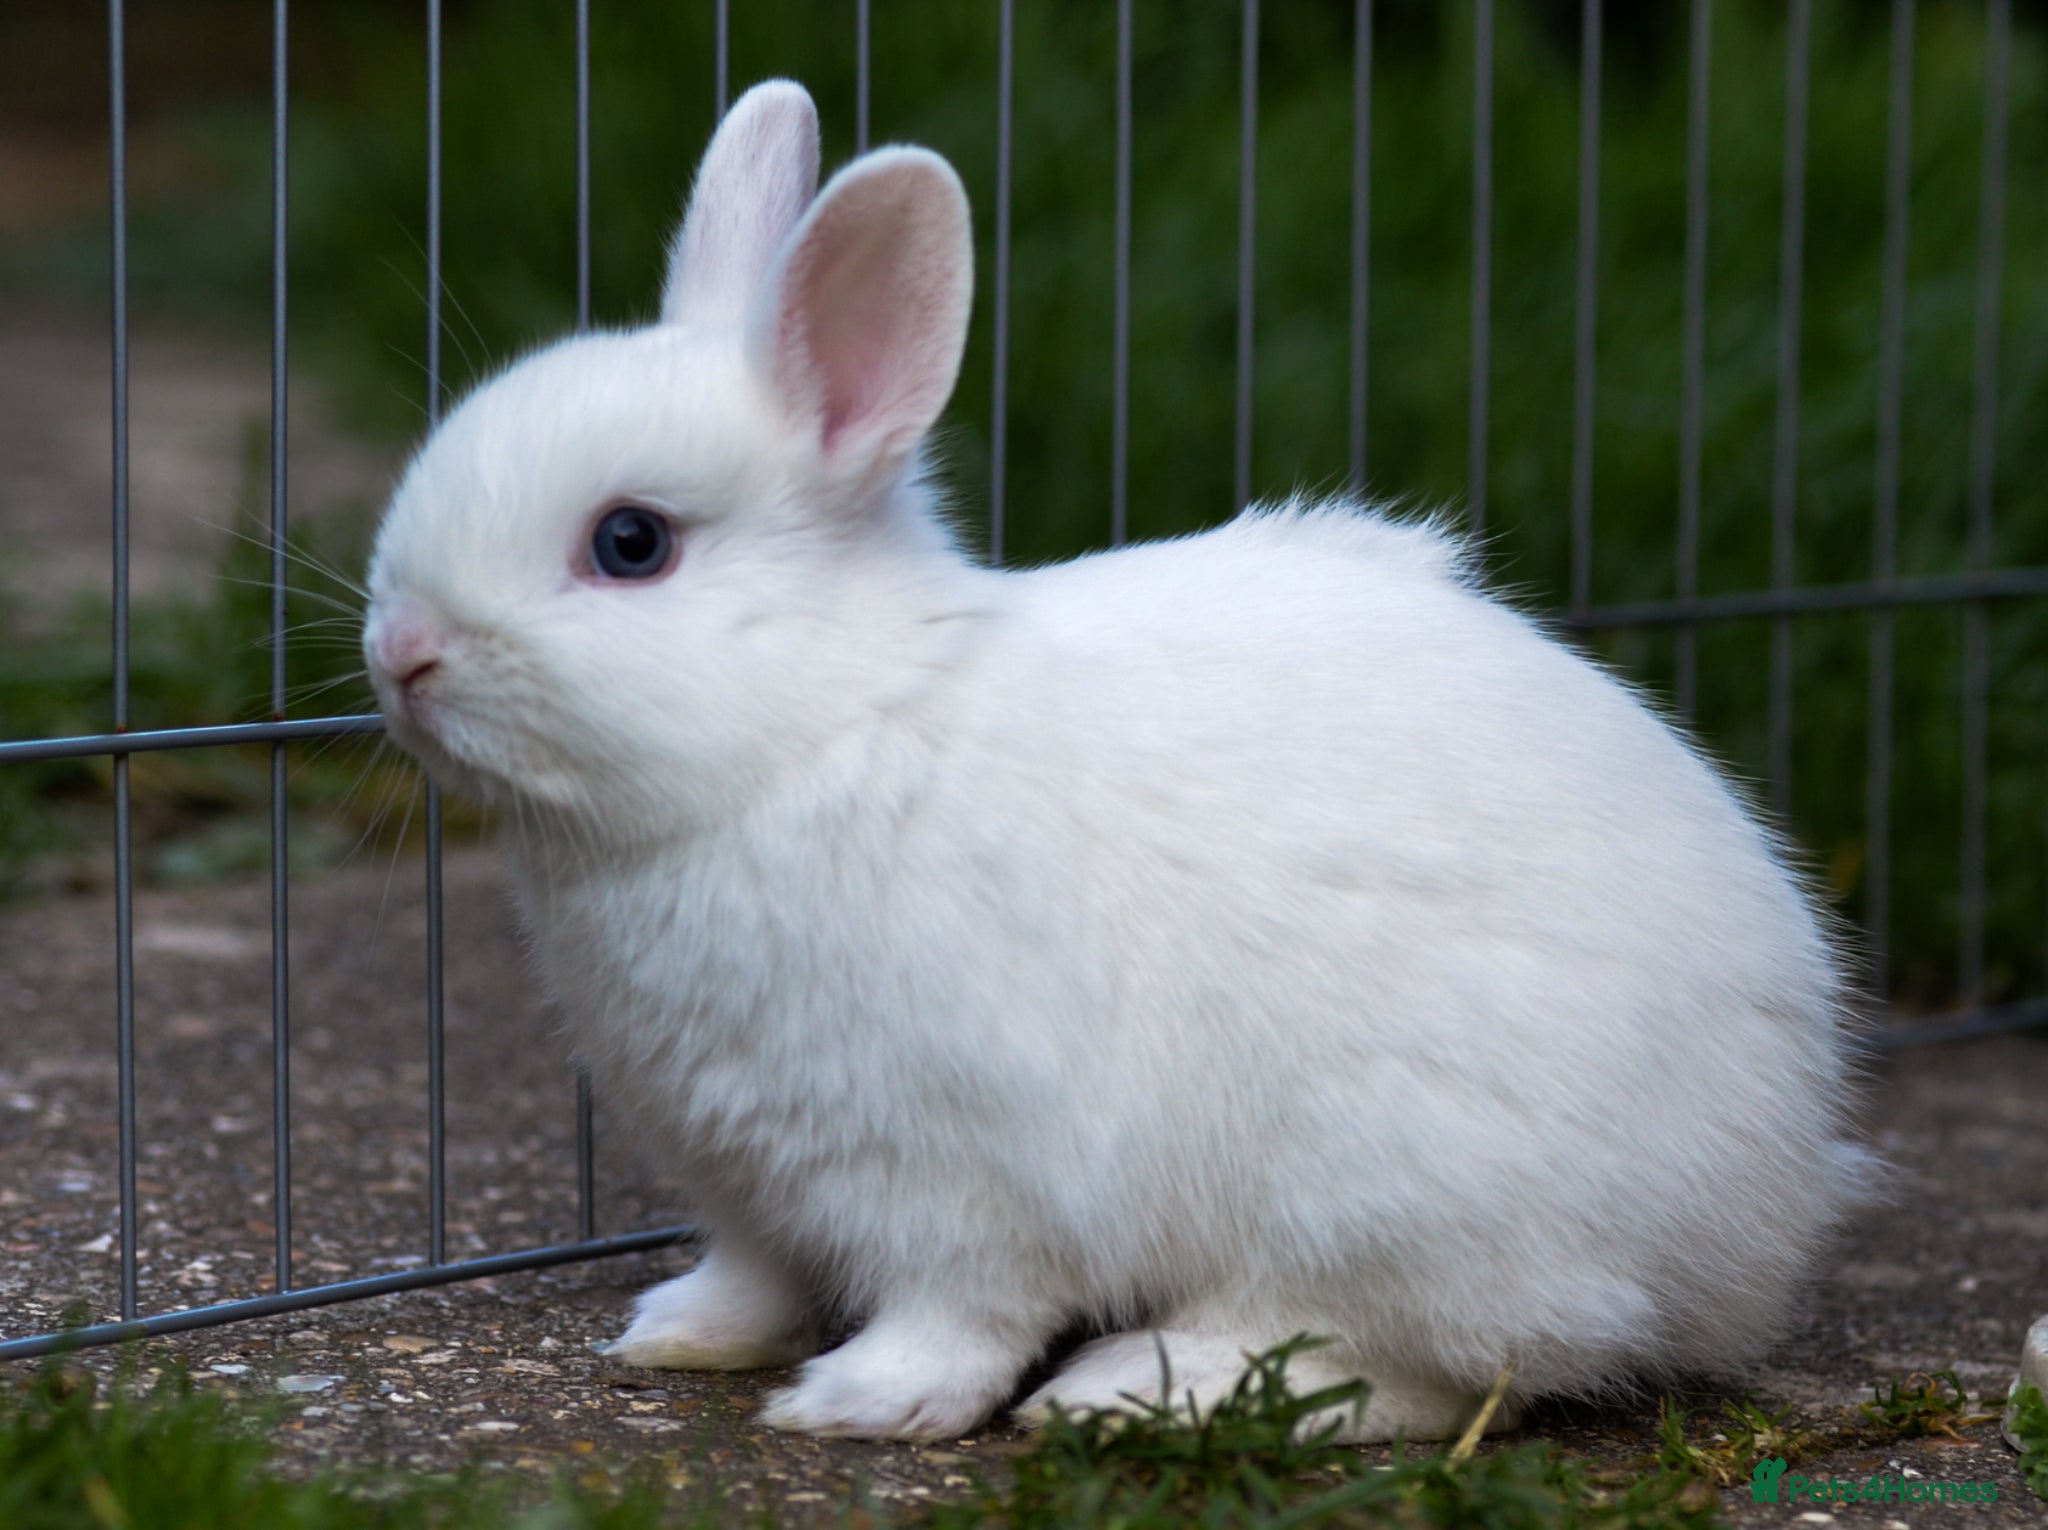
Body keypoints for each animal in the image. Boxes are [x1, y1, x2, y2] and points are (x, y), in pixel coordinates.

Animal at [361, 78, 1877, 1443]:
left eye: (631, 544)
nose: (401, 653)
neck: (821, 724)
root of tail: (1758, 1225)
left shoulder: (955, 1167)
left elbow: (960, 1309)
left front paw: (861, 1406)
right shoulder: (742, 1171)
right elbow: (760, 1274)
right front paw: (678, 1335)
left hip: (1390, 1195)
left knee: (1429, 1368)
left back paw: (1133, 1392)